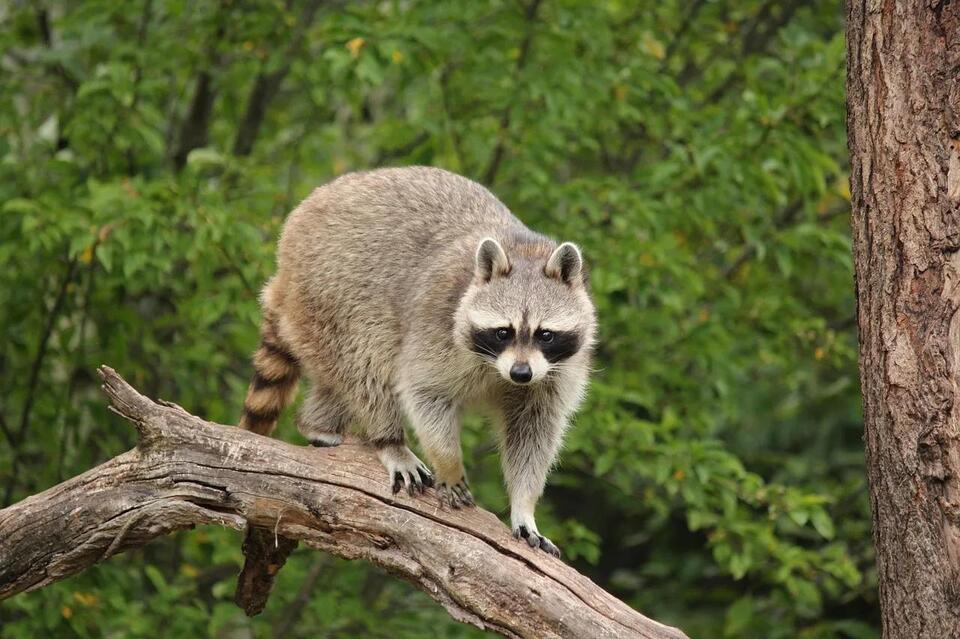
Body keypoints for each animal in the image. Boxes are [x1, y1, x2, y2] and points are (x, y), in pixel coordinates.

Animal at [239, 166, 596, 556]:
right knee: (368, 362)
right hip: (330, 290)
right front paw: (449, 464)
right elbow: (424, 392)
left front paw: (524, 505)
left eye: (545, 334)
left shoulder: (556, 371)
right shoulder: (437, 322)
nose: (520, 373)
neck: (525, 250)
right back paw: (387, 440)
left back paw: (316, 423)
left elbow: (534, 430)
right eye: (503, 331)